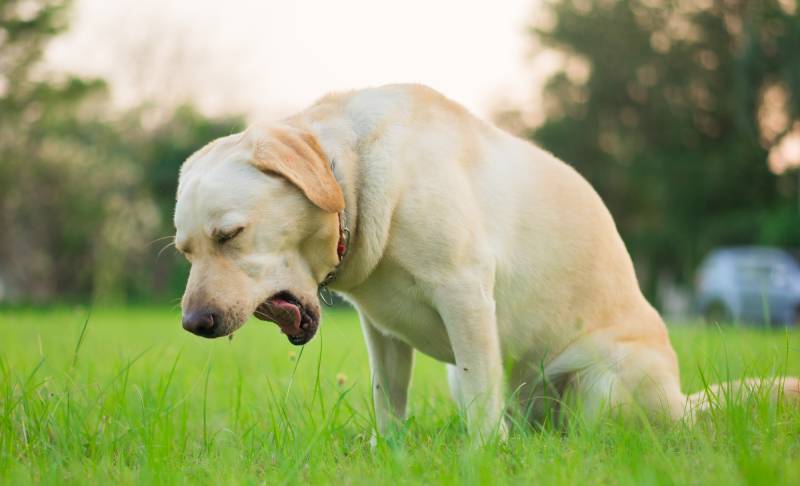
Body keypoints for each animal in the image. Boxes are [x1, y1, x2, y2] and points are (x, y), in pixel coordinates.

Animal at [177, 83, 800, 440]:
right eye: (185, 249)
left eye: (230, 235)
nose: (195, 323)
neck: (351, 175)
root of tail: (681, 405)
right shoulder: (382, 332)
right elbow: (388, 400)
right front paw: (390, 454)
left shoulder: (464, 294)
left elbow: (481, 403)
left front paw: (479, 458)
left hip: (604, 385)